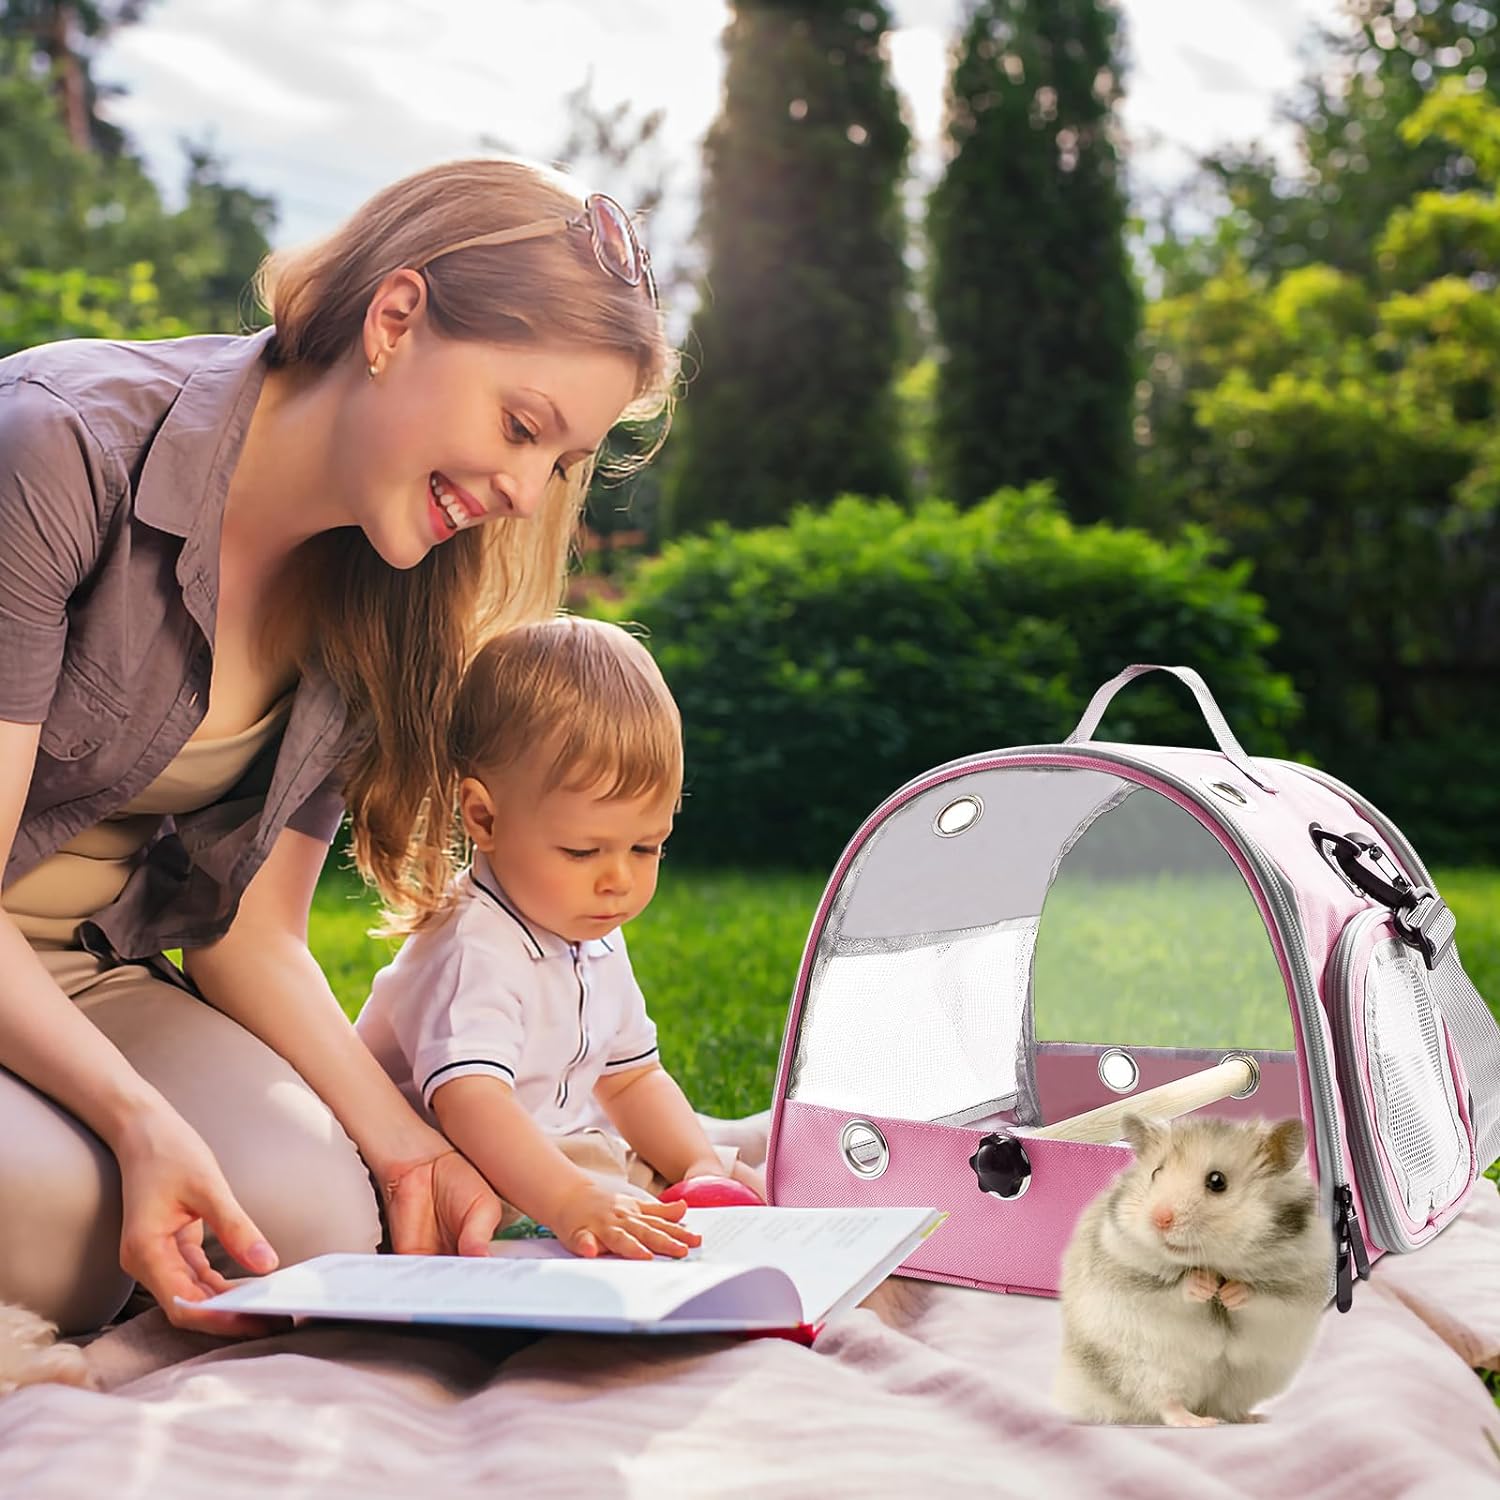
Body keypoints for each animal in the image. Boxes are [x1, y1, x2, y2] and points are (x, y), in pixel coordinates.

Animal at [1056, 1116, 1338, 1428]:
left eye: (1217, 1181)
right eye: (1156, 1172)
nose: (1159, 1219)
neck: (1214, 1262)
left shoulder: (1294, 1286)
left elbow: (1260, 1295)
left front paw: (1229, 1293)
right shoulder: (1129, 1275)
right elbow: (1173, 1290)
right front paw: (1205, 1285)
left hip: (1249, 1378)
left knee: (1229, 1406)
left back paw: (1253, 1418)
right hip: (1146, 1371)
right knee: (1167, 1405)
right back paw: (1199, 1422)